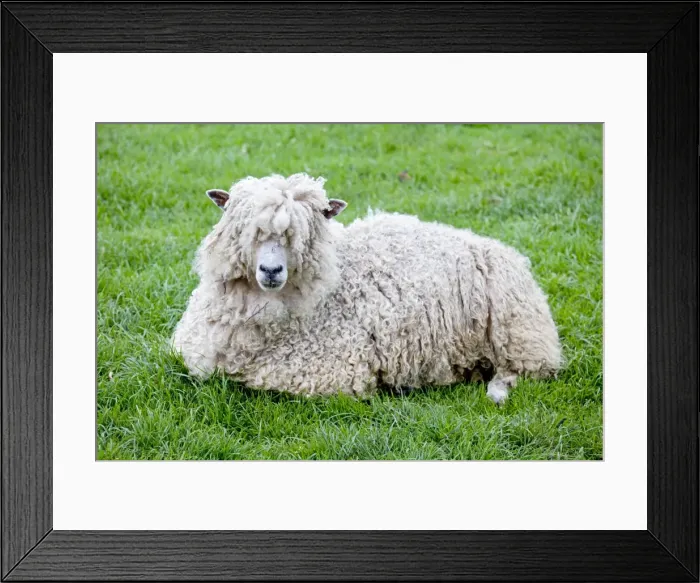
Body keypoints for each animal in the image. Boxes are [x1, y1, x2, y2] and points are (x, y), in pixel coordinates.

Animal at [171, 173, 562, 405]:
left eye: (306, 230)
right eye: (245, 229)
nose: (270, 270)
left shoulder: (323, 374)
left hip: (521, 337)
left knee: (527, 372)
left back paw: (496, 390)